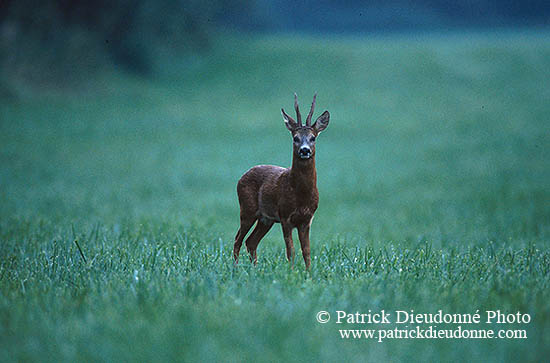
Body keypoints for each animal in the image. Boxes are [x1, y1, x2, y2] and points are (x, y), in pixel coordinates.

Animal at [234, 94, 332, 270]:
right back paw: (236, 268)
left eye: (313, 138)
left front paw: (308, 273)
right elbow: (291, 251)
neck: (301, 194)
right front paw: (292, 272)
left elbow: (306, 251)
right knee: (238, 239)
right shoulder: (285, 216)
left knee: (251, 241)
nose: (305, 150)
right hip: (247, 209)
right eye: (295, 138)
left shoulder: (307, 220)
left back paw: (254, 269)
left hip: (266, 219)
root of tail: (242, 177)